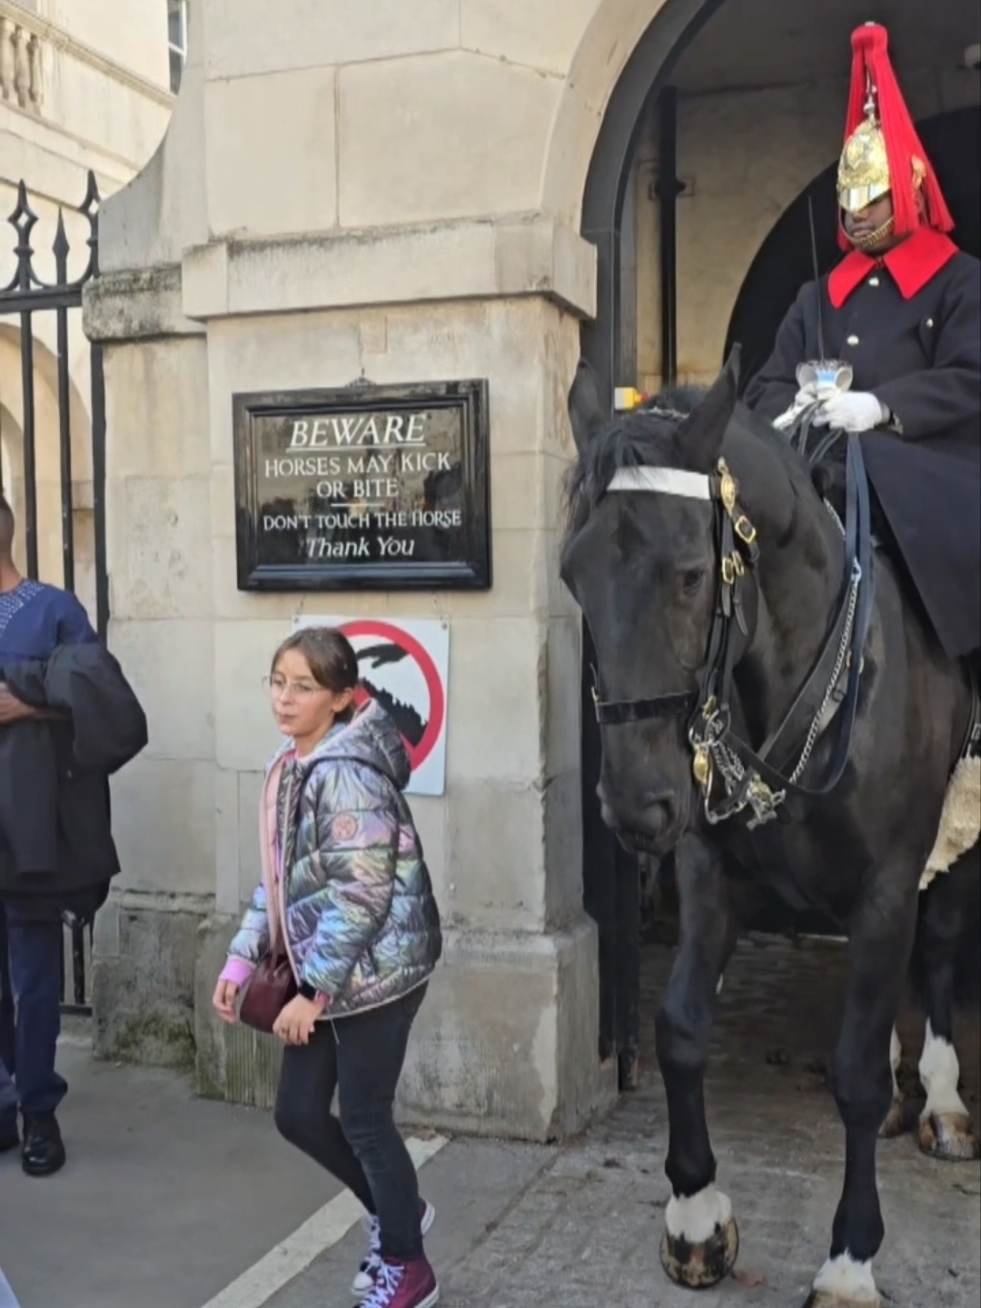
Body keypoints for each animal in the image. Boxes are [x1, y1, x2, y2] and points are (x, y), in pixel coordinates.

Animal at [565, 350, 978, 1308]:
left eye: (688, 573)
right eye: (573, 574)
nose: (635, 806)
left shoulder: (885, 886)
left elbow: (853, 1073)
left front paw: (850, 1259)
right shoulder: (709, 873)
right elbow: (679, 1029)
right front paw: (694, 1217)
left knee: (941, 945)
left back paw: (940, 1099)